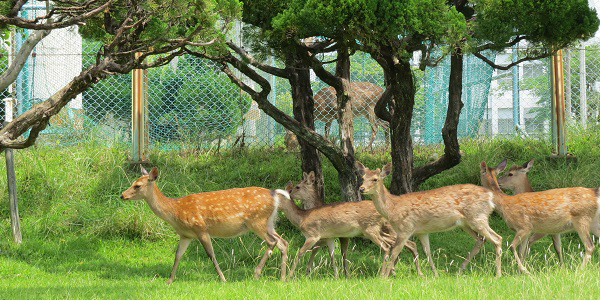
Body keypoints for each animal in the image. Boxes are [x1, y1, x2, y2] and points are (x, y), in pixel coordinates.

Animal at [119, 166, 288, 284]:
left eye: (137, 186)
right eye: (133, 183)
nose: (122, 195)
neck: (175, 211)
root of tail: (275, 196)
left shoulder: (200, 228)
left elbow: (211, 254)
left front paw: (223, 279)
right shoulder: (186, 235)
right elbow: (178, 255)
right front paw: (169, 280)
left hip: (257, 221)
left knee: (272, 242)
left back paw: (256, 274)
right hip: (268, 223)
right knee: (283, 242)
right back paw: (283, 278)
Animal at [284, 172, 422, 278]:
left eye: (297, 186)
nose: (290, 193)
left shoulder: (328, 236)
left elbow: (318, 251)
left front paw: (308, 272)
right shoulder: (338, 237)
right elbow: (340, 254)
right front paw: (345, 275)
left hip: (388, 230)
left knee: (405, 245)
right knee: (406, 245)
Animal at [354, 162, 504, 276]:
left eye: (375, 179)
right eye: (362, 177)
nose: (361, 189)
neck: (392, 208)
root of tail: (490, 196)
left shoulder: (405, 228)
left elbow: (394, 252)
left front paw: (384, 276)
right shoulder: (422, 231)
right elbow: (427, 252)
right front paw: (435, 274)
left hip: (478, 217)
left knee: (497, 238)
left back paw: (497, 274)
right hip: (467, 223)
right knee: (481, 240)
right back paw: (460, 270)